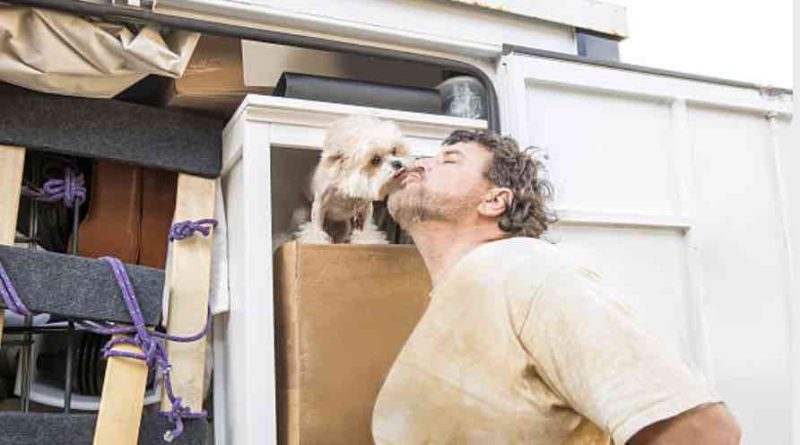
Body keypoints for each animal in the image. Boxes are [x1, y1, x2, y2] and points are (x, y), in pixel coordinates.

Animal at [294, 114, 410, 243]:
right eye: (375, 159)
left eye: (394, 151)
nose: (398, 163)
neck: (345, 187)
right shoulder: (319, 204)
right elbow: (316, 230)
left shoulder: (365, 208)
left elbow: (366, 231)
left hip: (345, 227)